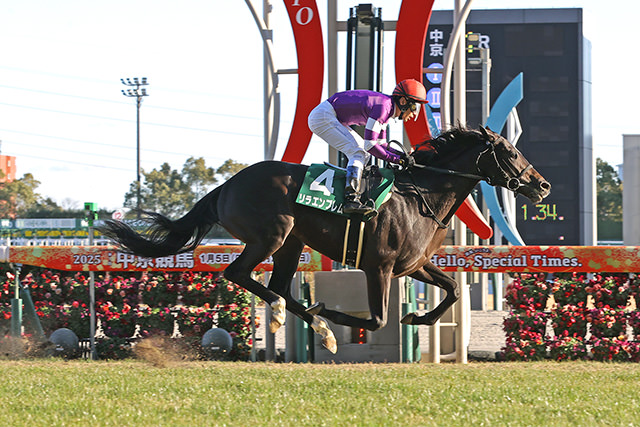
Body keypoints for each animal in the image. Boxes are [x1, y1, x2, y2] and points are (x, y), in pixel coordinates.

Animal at [99, 126, 550, 354]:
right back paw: (295, 317)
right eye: (511, 152)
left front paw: (416, 319)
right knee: (240, 274)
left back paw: (315, 326)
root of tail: (227, 185)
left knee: (279, 286)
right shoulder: (379, 266)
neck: (421, 194)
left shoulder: (414, 264)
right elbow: (376, 319)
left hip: (292, 243)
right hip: (271, 236)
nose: (542, 185)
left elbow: (453, 289)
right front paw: (335, 314)